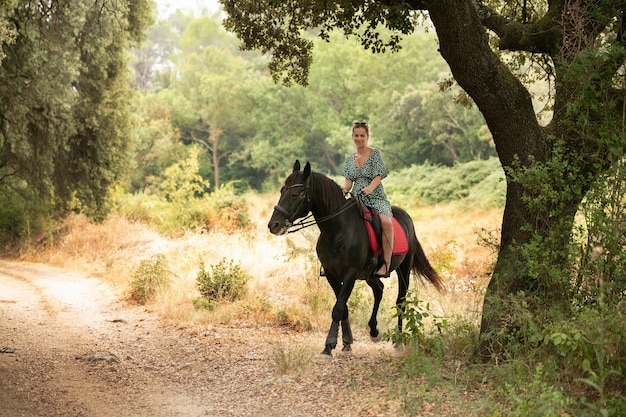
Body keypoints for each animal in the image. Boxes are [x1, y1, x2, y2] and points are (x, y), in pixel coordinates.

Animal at [266, 159, 442, 354]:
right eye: (282, 191)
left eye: (295, 194)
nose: (274, 225)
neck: (337, 231)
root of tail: (407, 218)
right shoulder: (331, 274)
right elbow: (343, 308)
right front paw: (346, 342)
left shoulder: (350, 275)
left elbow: (338, 308)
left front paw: (329, 346)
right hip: (370, 275)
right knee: (379, 290)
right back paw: (374, 331)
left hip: (404, 269)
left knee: (400, 301)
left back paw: (398, 341)